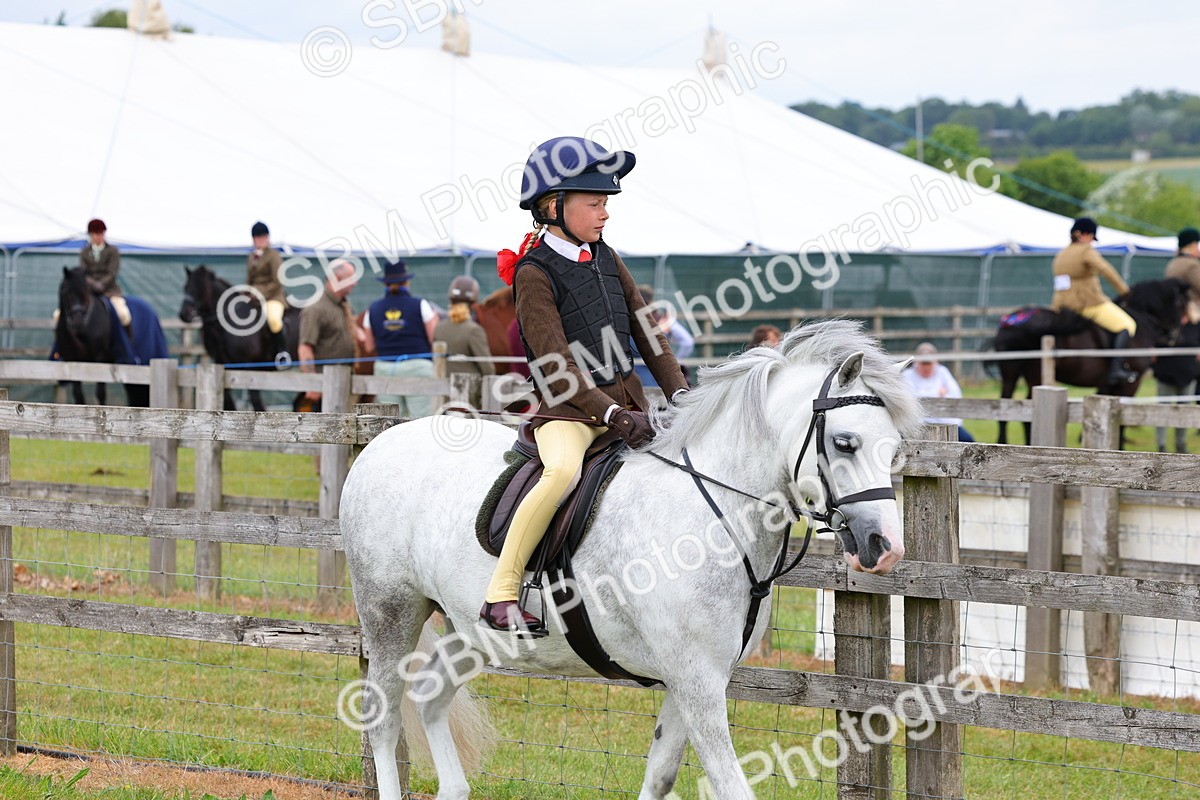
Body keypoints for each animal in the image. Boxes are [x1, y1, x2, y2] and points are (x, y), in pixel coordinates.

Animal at [54, 266, 164, 407]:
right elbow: (78, 395)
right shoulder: (72, 361)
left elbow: (100, 393)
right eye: (65, 291)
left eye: (86, 292)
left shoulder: (101, 359)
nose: (77, 322)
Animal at [179, 265, 299, 411]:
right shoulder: (225, 364)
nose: (183, 314)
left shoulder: (252, 368)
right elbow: (227, 398)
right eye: (185, 287)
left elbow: (256, 402)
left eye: (198, 288)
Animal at [340, 320, 923, 799]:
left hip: (471, 631)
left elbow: (660, 775)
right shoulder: (697, 682)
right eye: (844, 443)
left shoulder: (695, 680)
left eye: (892, 447)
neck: (713, 515)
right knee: (384, 718)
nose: (884, 547)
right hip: (391, 612)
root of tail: (381, 443)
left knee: (430, 695)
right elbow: (731, 786)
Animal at [992, 278, 1189, 445]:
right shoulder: (1131, 383)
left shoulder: (1107, 384)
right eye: (1181, 303)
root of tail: (1014, 320)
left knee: (1007, 406)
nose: (1174, 335)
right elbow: (1122, 420)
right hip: (1035, 375)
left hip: (1010, 373)